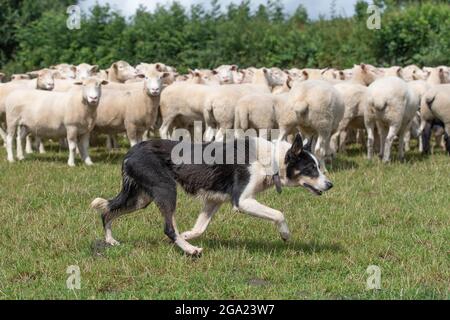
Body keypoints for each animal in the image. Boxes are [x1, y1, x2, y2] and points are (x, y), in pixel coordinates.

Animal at [91, 134, 332, 256]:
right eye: (311, 169)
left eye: (319, 167)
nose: (330, 185)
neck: (271, 159)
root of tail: (130, 151)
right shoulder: (242, 201)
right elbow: (279, 214)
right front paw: (285, 234)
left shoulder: (213, 200)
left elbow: (200, 228)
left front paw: (187, 234)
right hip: (166, 189)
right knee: (168, 227)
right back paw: (190, 251)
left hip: (141, 198)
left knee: (107, 212)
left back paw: (111, 240)